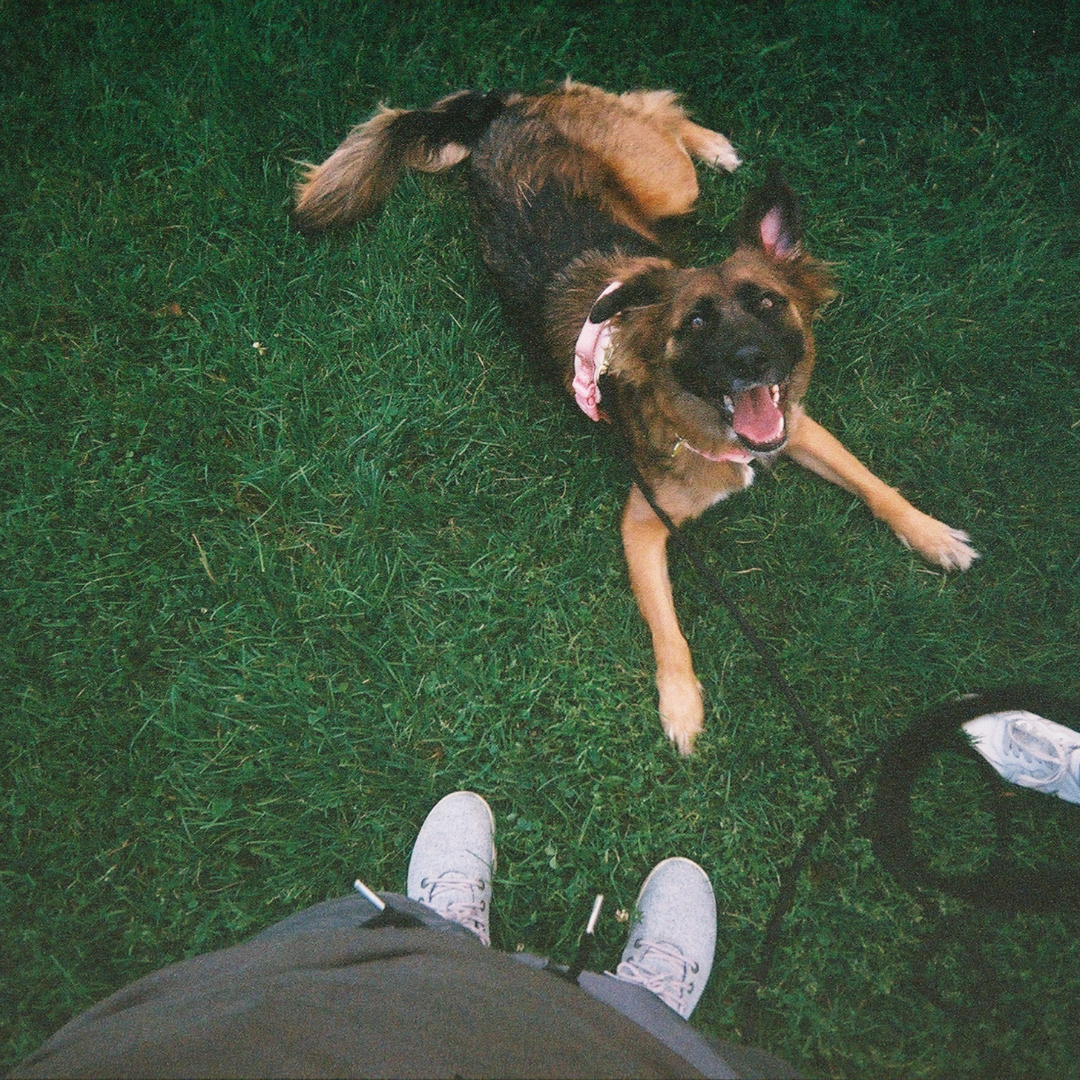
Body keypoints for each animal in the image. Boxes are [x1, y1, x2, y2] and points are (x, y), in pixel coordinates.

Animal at [294, 81, 978, 754]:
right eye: (695, 323)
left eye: (767, 302)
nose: (751, 360)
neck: (703, 423)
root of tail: (507, 111)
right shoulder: (643, 524)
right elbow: (667, 626)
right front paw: (681, 703)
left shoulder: (796, 424)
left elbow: (875, 486)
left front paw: (932, 535)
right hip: (664, 178)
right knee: (643, 99)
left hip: (670, 186)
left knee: (645, 102)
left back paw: (713, 144)